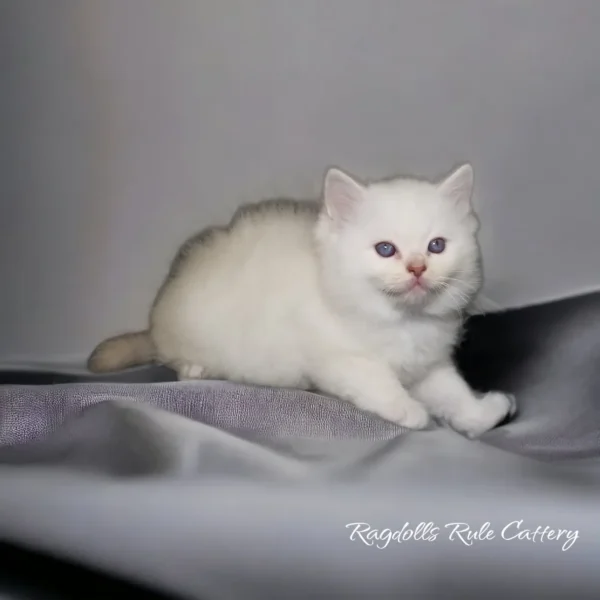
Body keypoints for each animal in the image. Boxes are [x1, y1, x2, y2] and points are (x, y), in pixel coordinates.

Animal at [89, 164, 516, 436]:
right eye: (385, 249)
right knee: (176, 362)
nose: (417, 269)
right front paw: (411, 412)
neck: (401, 321)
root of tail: (156, 320)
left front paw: (484, 413)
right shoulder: (336, 358)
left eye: (436, 246)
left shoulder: (428, 364)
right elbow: (378, 380)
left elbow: (455, 393)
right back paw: (196, 369)